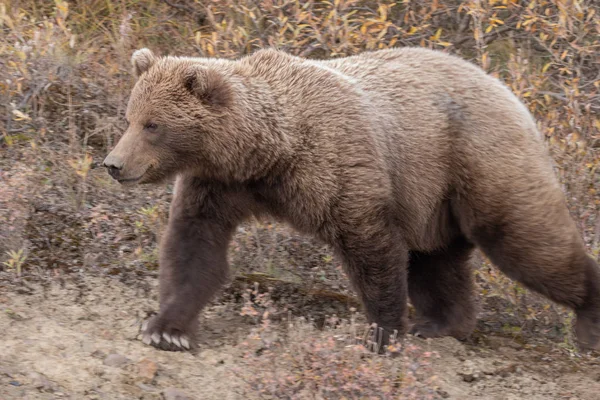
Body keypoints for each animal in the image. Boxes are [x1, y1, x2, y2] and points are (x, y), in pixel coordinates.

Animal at [103, 47, 600, 352]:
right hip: (431, 195)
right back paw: (440, 323)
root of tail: (508, 89)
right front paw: (166, 328)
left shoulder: (336, 164)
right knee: (435, 259)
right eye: (129, 117)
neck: (265, 152)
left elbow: (370, 246)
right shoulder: (218, 184)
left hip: (480, 161)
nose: (113, 163)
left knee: (527, 243)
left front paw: (382, 333)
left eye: (152, 125)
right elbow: (194, 247)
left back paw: (589, 320)